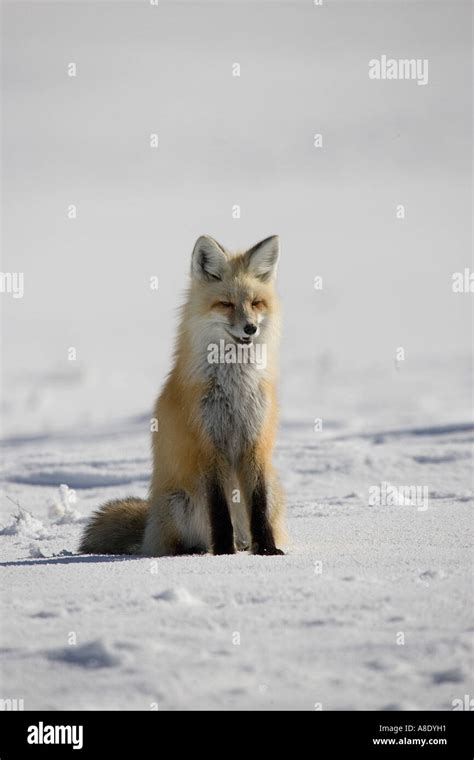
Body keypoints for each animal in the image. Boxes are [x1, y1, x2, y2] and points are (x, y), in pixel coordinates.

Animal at [79, 238, 286, 560]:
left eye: (256, 303)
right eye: (226, 304)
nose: (250, 327)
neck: (234, 386)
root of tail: (149, 525)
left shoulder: (256, 441)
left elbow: (259, 507)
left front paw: (266, 550)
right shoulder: (207, 444)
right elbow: (219, 511)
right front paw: (223, 553)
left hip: (274, 488)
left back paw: (243, 546)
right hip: (179, 502)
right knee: (179, 543)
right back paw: (197, 552)